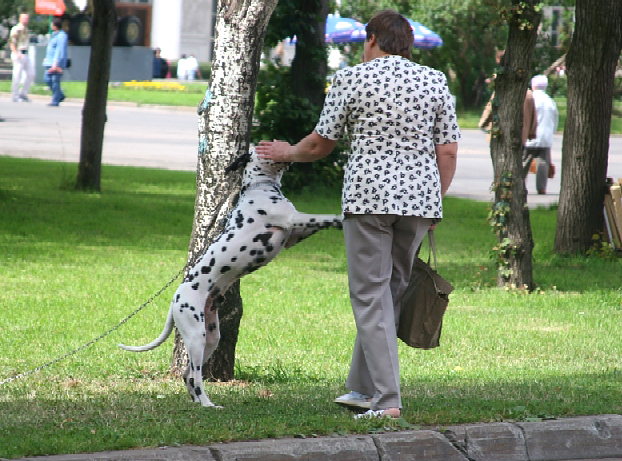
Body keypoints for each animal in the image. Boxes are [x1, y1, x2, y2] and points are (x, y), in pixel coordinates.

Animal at [119, 147, 344, 406]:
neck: (259, 187)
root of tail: (176, 298)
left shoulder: (295, 234)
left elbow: (320, 223)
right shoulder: (293, 219)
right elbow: (325, 217)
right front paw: (342, 216)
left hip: (211, 338)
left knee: (187, 375)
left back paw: (199, 402)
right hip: (196, 337)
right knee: (195, 376)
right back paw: (207, 404)